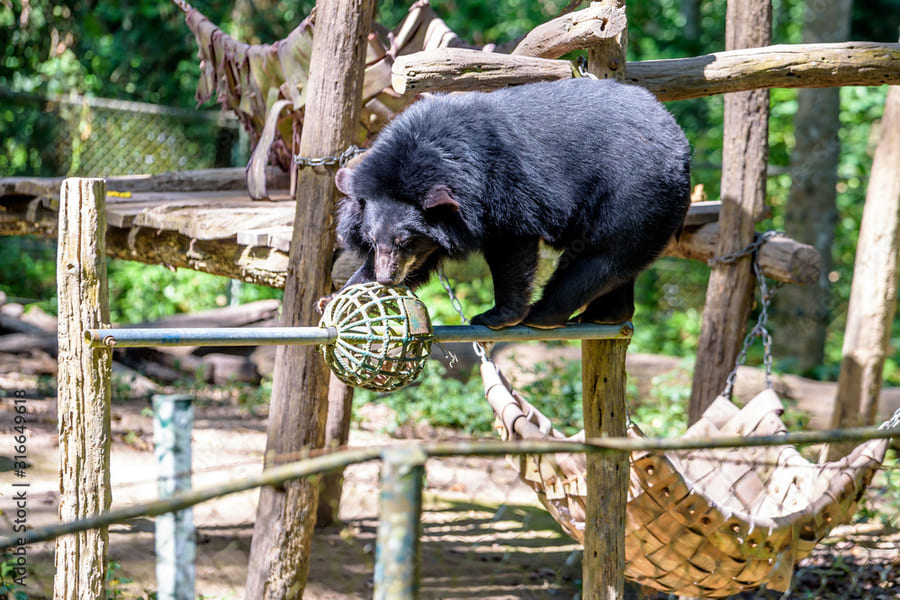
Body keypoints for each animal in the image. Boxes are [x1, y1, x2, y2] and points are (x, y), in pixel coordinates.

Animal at [330, 77, 688, 330]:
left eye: (404, 241)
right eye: (372, 240)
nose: (386, 278)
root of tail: (681, 143)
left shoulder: (500, 190)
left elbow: (510, 248)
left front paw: (498, 316)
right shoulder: (439, 225)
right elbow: (424, 258)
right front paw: (341, 295)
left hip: (632, 195)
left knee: (599, 258)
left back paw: (545, 315)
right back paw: (607, 314)